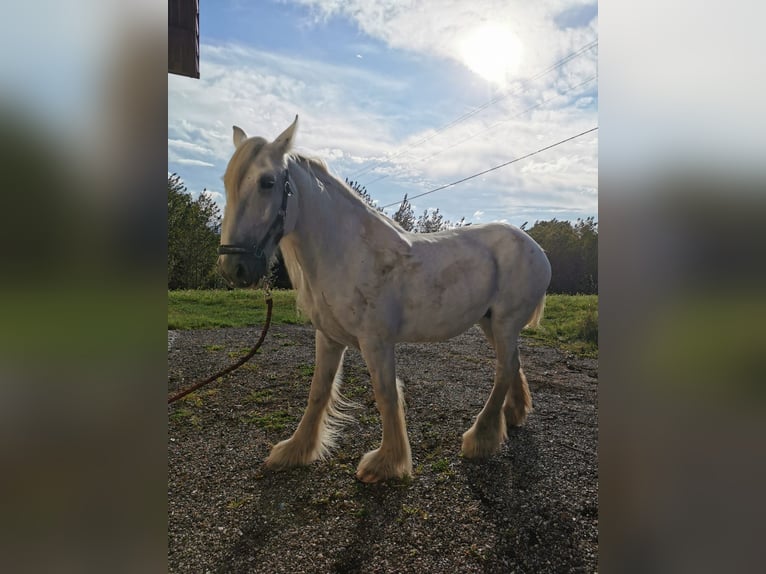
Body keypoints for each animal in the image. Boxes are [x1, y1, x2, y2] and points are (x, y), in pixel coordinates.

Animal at [217, 116, 551, 483]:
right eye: (226, 182)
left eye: (268, 182)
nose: (234, 268)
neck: (347, 252)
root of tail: (535, 247)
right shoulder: (329, 337)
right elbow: (318, 391)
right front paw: (294, 450)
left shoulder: (376, 341)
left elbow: (386, 393)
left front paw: (386, 463)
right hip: (489, 322)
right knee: (513, 365)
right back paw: (513, 415)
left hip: (505, 322)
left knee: (503, 370)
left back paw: (479, 439)